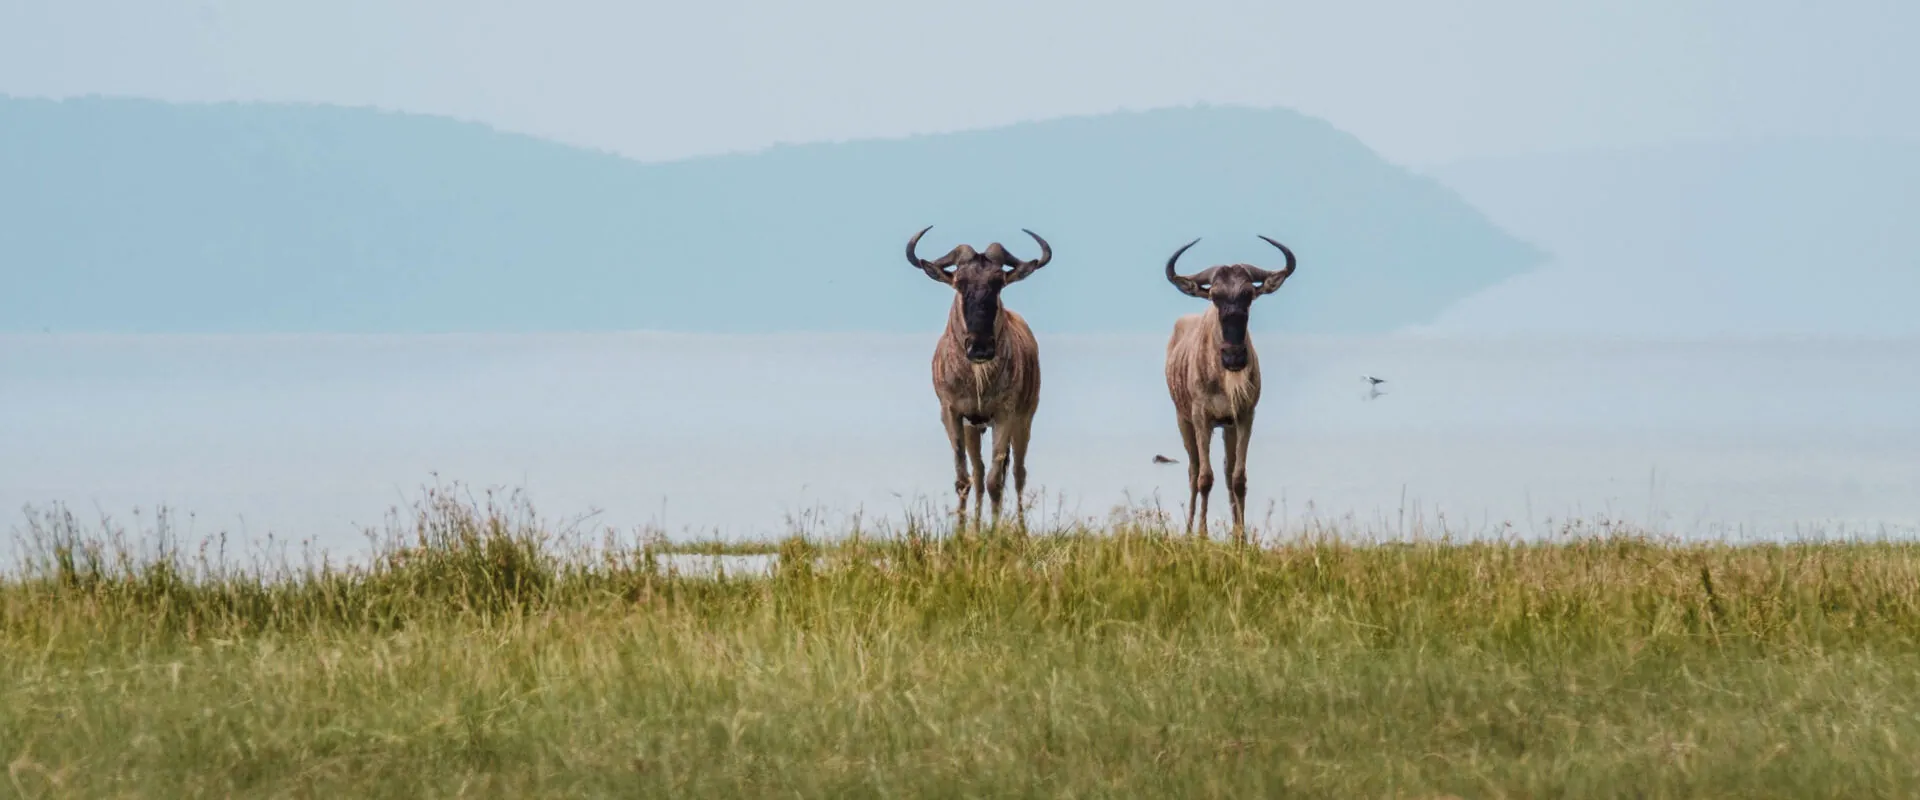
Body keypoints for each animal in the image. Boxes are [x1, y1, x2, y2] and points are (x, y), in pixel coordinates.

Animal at [905, 225, 1052, 529]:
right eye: (960, 282)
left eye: (999, 282)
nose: (981, 347)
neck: (977, 380)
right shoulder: (952, 414)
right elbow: (965, 478)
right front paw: (963, 533)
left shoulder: (1005, 414)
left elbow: (997, 481)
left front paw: (995, 534)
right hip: (974, 428)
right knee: (979, 472)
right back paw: (975, 528)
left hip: (1025, 419)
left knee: (1017, 474)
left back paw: (1021, 530)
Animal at [1161, 235, 1298, 542]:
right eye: (1214, 295)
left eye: (1248, 294)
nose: (1234, 357)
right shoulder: (1201, 418)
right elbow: (1205, 478)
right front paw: (1201, 536)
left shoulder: (1244, 417)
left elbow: (1237, 478)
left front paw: (1241, 538)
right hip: (1183, 420)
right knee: (1193, 470)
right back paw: (1189, 531)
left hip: (1226, 427)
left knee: (1225, 472)